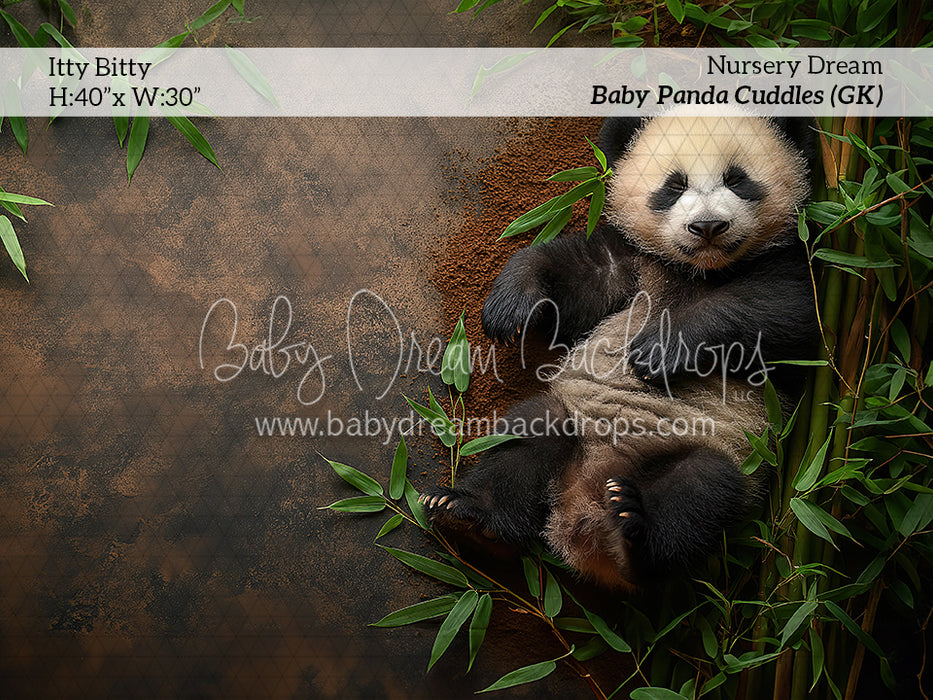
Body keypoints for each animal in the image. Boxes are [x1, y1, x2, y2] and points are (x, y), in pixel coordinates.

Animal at [420, 109, 819, 589]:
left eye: (737, 179)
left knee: (700, 492)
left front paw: (659, 350)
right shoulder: (635, 262)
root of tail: (583, 512)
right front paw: (511, 303)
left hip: (726, 454)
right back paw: (468, 515)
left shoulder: (793, 262)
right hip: (572, 422)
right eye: (674, 185)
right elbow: (578, 274)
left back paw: (632, 532)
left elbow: (780, 309)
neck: (700, 270)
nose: (707, 227)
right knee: (525, 437)